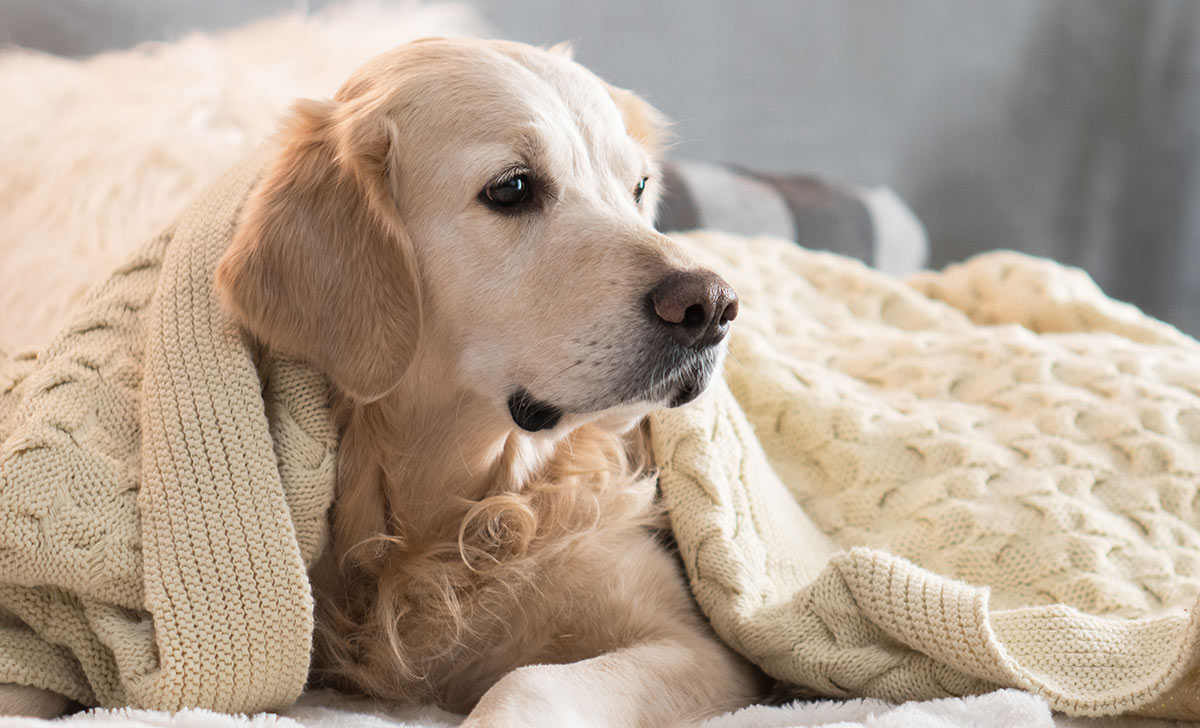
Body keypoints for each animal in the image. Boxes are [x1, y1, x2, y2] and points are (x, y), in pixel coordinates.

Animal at [0, 38, 763, 724]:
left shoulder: (703, 649)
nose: (711, 306)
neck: (435, 504)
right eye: (512, 187)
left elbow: (529, 681)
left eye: (638, 188)